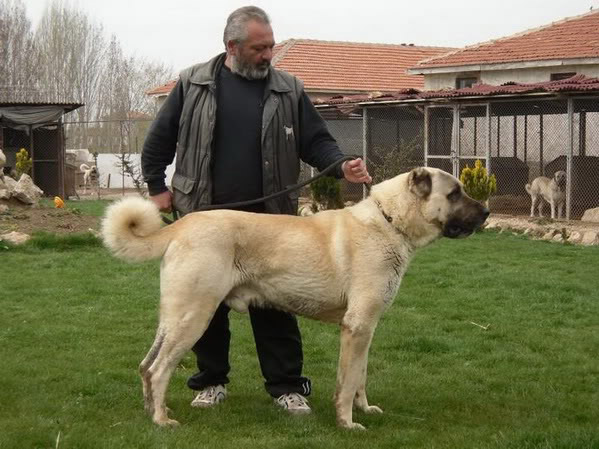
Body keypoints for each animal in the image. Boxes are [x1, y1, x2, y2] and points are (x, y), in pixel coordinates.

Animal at [101, 166, 490, 428]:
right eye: (454, 193)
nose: (487, 212)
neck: (389, 221)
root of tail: (181, 225)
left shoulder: (366, 329)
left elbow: (360, 376)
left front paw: (365, 409)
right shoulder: (357, 327)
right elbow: (348, 382)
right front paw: (348, 422)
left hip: (174, 319)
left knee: (146, 366)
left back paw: (152, 410)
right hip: (194, 317)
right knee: (160, 369)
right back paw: (161, 420)